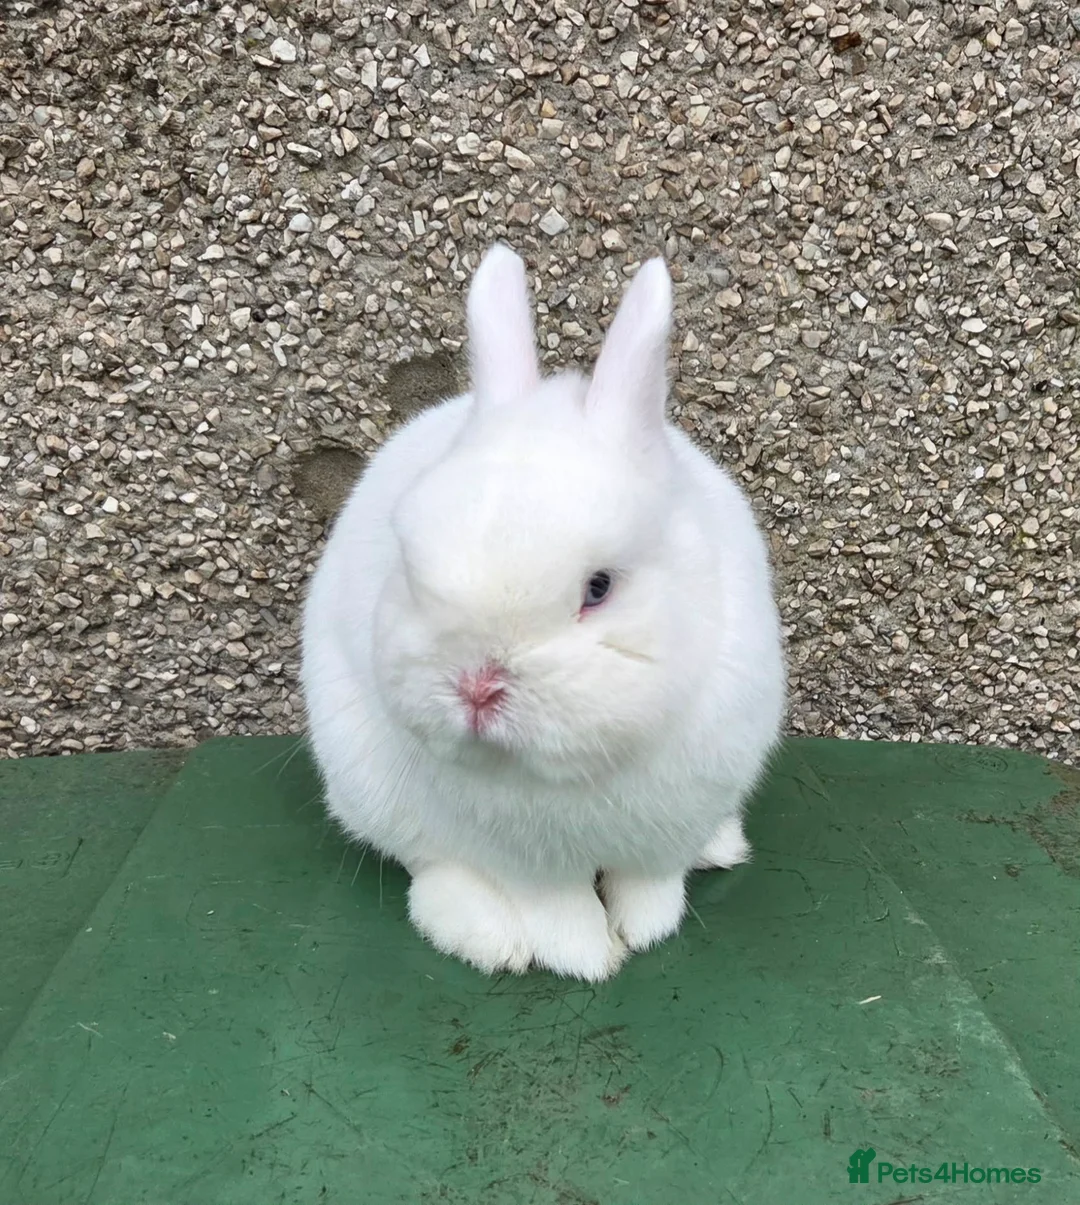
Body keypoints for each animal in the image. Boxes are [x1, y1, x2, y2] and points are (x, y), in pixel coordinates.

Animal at [300, 244, 785, 981]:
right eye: (409, 567)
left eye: (598, 587)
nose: (476, 688)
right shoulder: (526, 862)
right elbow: (558, 909)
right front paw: (589, 957)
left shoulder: (669, 827)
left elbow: (651, 882)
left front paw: (645, 928)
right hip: (369, 783)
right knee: (429, 864)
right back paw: (485, 936)